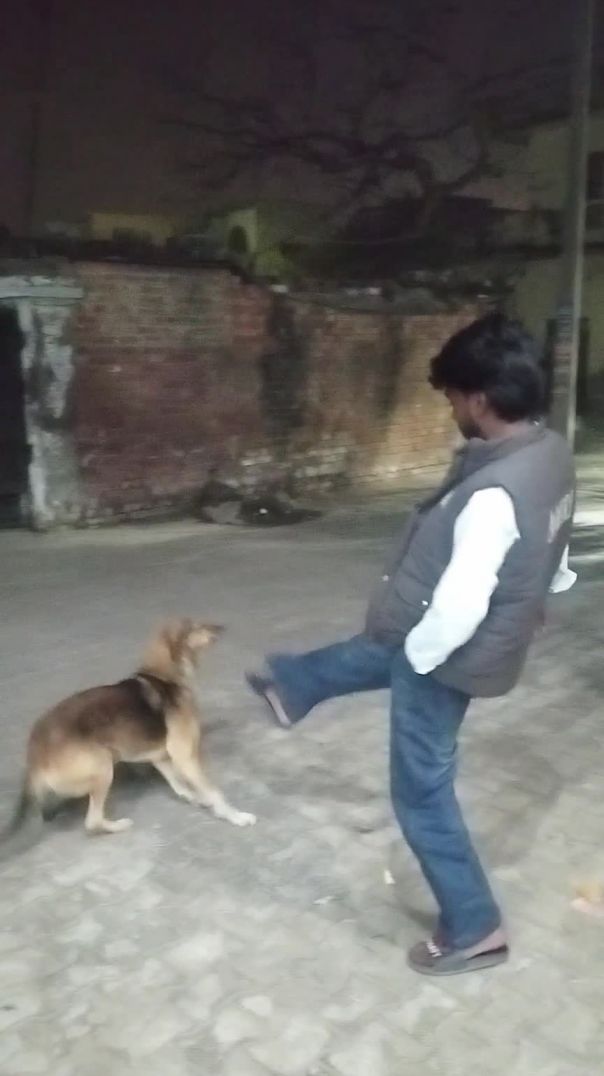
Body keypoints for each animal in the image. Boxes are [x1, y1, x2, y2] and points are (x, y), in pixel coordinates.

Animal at [5, 618, 256, 837]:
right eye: (195, 626)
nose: (222, 627)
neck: (165, 676)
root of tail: (34, 755)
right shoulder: (184, 755)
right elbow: (214, 791)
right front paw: (236, 816)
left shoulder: (162, 757)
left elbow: (180, 785)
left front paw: (196, 798)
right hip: (103, 766)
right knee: (92, 822)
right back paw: (118, 825)